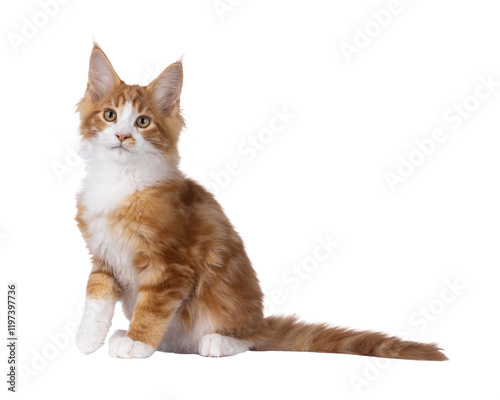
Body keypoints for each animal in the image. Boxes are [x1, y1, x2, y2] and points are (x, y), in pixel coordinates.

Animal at [75, 43, 450, 360]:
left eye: (143, 122)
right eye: (110, 115)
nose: (123, 136)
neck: (120, 179)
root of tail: (260, 321)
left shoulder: (171, 265)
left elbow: (152, 307)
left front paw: (137, 343)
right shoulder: (104, 255)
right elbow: (96, 297)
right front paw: (88, 339)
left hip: (223, 301)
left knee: (248, 340)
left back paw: (214, 342)